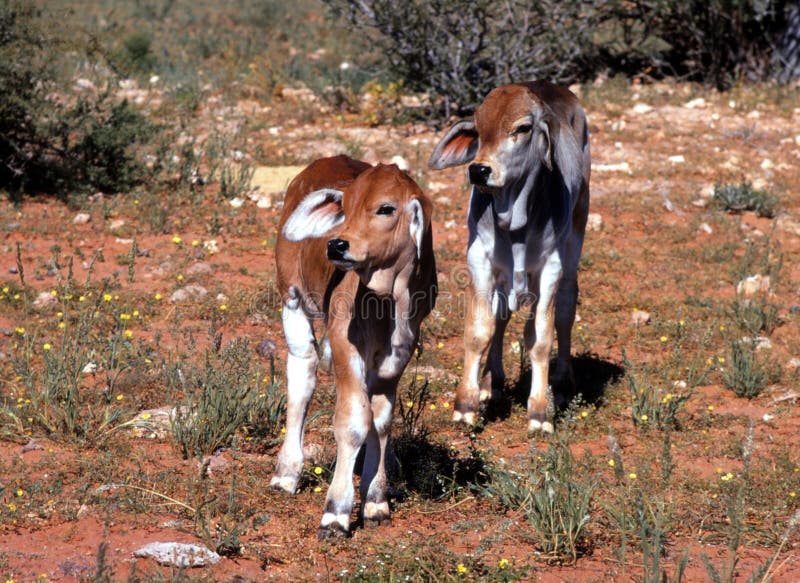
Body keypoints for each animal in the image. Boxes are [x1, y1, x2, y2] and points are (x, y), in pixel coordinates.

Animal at [270, 155, 437, 538]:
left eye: (386, 208)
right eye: (344, 207)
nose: (336, 245)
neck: (388, 299)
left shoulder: (400, 353)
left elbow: (381, 420)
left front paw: (376, 501)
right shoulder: (345, 341)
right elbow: (354, 420)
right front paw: (337, 511)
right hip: (292, 299)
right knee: (302, 375)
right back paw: (287, 472)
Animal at [428, 81, 590, 434]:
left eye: (523, 128)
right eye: (478, 130)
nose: (479, 170)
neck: (514, 220)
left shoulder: (551, 267)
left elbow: (540, 338)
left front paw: (540, 412)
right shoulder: (479, 258)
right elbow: (481, 330)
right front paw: (466, 405)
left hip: (575, 243)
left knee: (565, 311)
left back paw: (561, 382)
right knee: (501, 316)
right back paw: (493, 383)